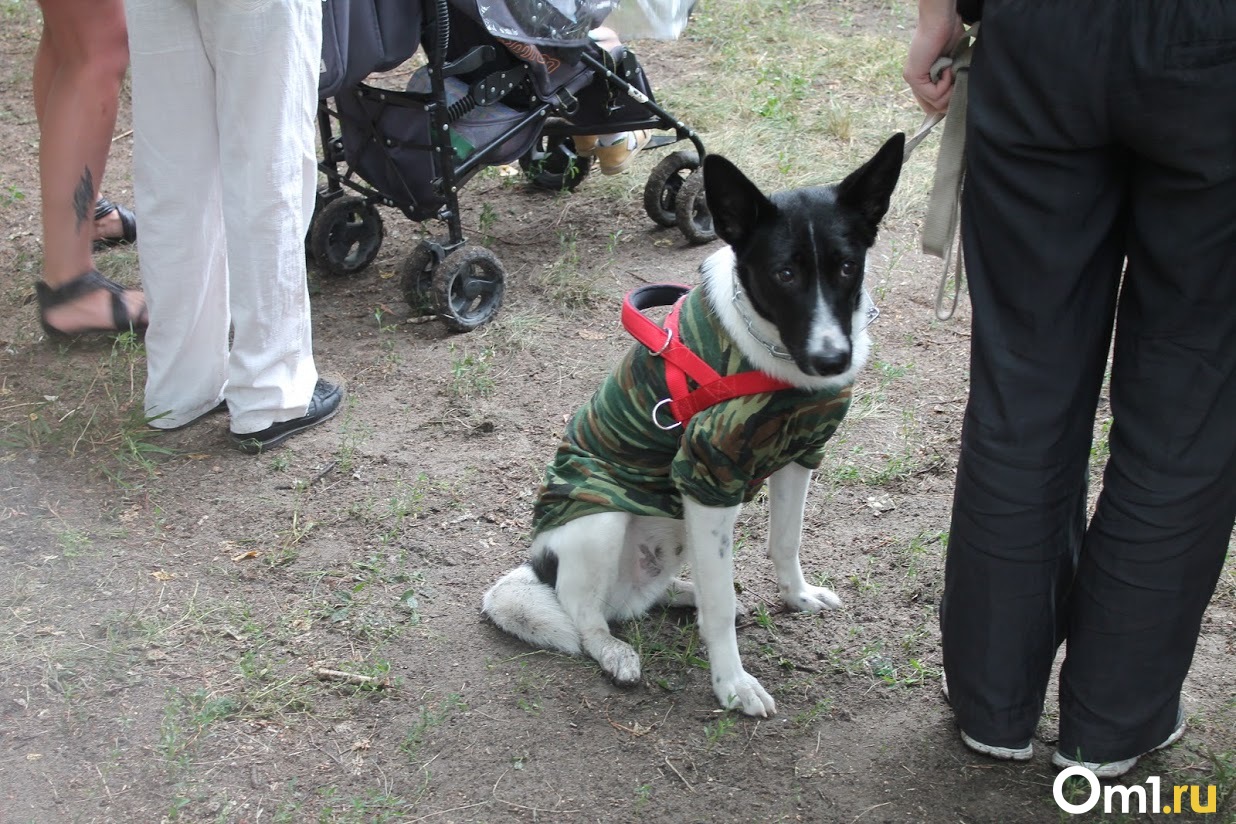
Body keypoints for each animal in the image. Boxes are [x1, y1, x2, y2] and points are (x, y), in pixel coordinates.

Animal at [484, 135, 909, 716]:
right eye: (784, 273)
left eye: (847, 267)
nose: (832, 360)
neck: (773, 357)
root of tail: (539, 562)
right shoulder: (708, 477)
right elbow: (722, 607)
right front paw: (733, 684)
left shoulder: (799, 453)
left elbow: (786, 542)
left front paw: (796, 597)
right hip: (602, 520)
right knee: (585, 614)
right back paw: (614, 652)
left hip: (673, 528)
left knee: (638, 600)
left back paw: (681, 595)